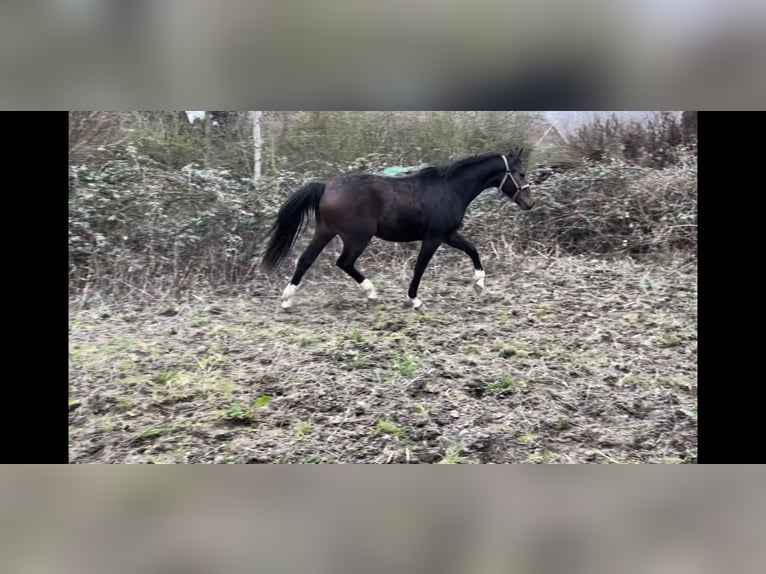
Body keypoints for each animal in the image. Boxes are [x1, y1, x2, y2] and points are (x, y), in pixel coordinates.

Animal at [260, 148, 536, 310]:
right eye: (520, 173)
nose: (530, 203)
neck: (450, 189)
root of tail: (326, 186)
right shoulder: (434, 237)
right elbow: (420, 267)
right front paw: (414, 299)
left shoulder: (448, 235)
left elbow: (473, 250)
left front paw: (479, 284)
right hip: (358, 237)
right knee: (344, 262)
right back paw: (371, 293)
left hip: (326, 231)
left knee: (306, 260)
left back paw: (287, 299)